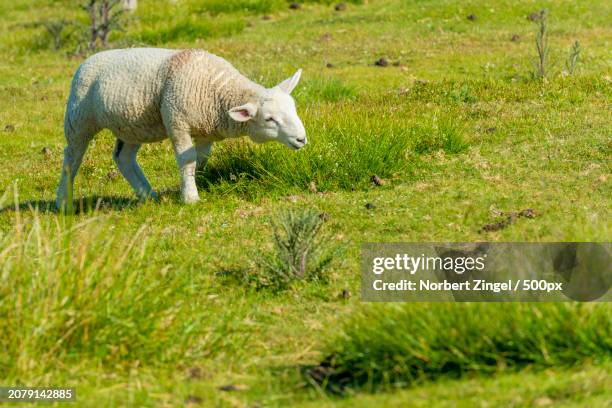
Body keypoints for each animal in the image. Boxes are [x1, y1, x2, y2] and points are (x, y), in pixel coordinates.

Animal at [56, 47, 306, 207]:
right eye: (269, 119)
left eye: (294, 108)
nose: (302, 139)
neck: (216, 91)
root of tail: (88, 60)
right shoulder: (177, 121)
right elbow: (187, 159)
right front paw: (190, 198)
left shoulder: (206, 129)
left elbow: (201, 159)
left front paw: (194, 184)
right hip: (79, 118)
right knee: (72, 157)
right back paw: (63, 201)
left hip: (131, 125)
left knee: (123, 158)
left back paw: (148, 196)